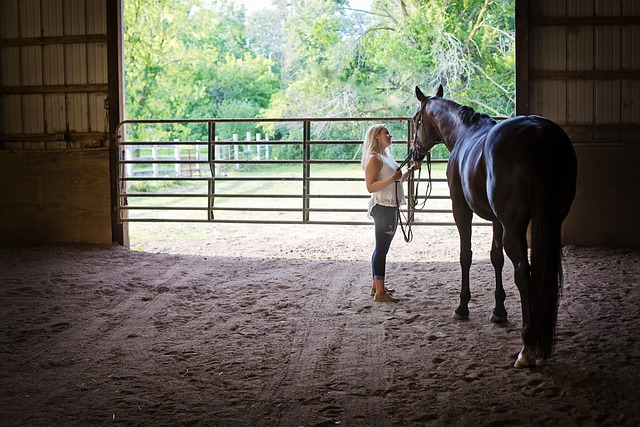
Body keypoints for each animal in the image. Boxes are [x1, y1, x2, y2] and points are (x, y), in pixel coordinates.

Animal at [412, 86, 576, 368]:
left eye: (416, 120)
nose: (414, 152)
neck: (464, 132)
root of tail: (540, 135)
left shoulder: (461, 210)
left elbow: (466, 256)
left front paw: (462, 307)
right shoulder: (497, 221)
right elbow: (495, 258)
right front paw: (499, 311)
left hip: (514, 228)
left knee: (523, 272)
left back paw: (527, 348)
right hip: (550, 221)